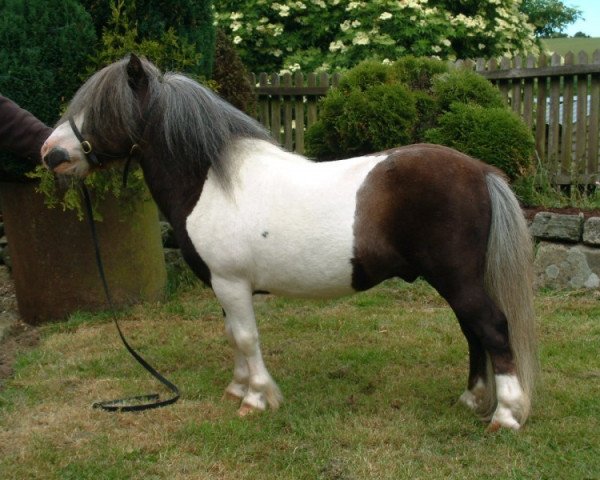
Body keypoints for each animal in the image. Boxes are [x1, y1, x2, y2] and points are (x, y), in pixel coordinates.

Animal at [42, 54, 540, 430]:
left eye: (101, 108)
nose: (51, 154)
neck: (211, 182)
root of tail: (481, 170)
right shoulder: (224, 286)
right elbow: (233, 335)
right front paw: (237, 389)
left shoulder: (231, 283)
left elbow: (246, 337)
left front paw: (257, 399)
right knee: (473, 331)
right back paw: (473, 400)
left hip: (457, 279)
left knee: (492, 329)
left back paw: (506, 416)